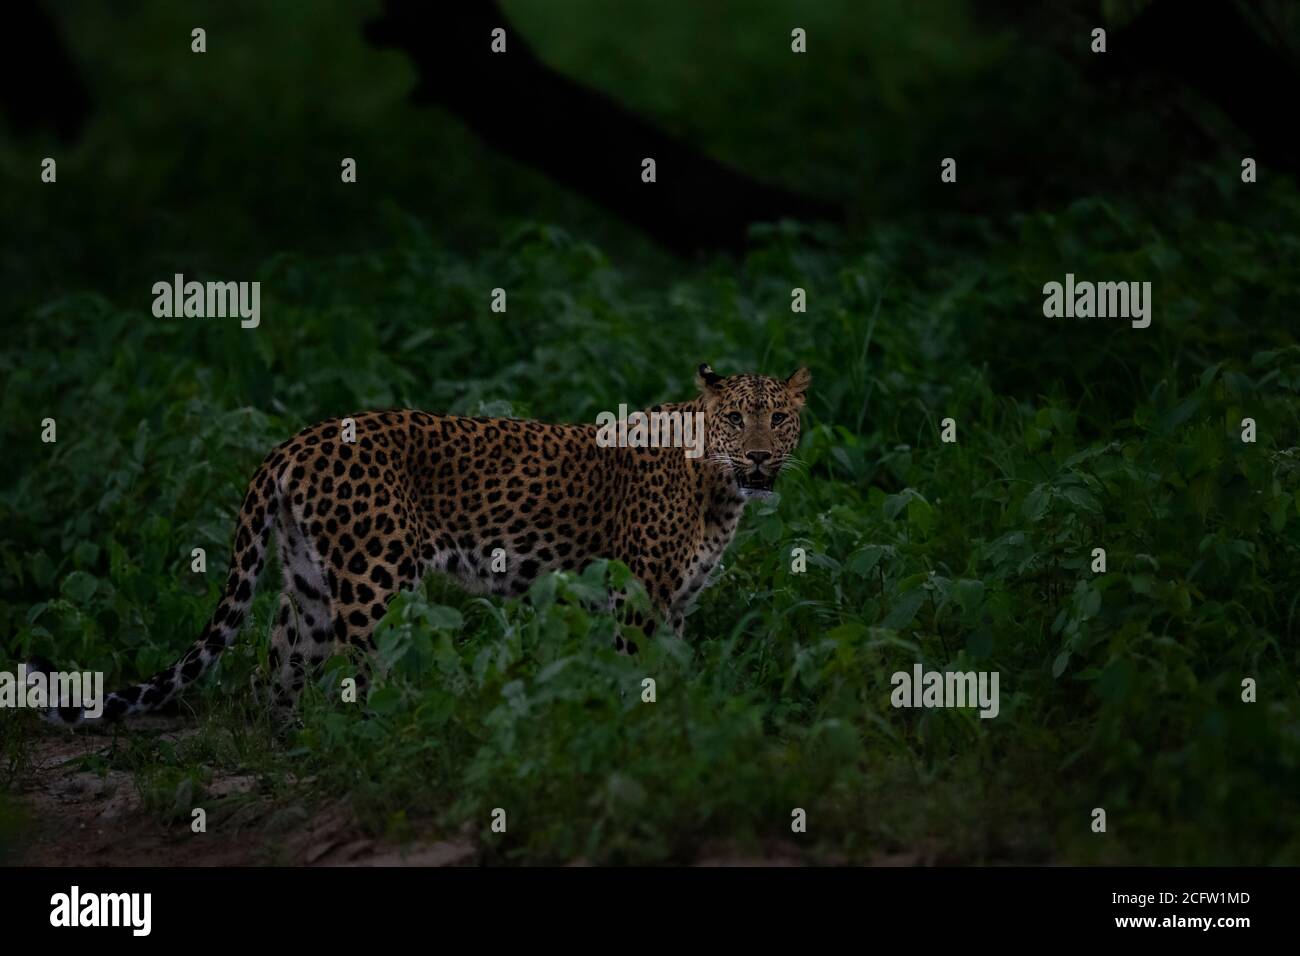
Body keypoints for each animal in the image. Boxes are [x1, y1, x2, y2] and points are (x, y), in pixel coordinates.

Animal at [45, 366, 806, 723]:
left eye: (780, 419)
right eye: (737, 418)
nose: (760, 458)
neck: (718, 489)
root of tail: (295, 442)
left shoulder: (674, 605)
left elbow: (671, 677)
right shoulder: (638, 599)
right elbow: (637, 679)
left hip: (311, 588)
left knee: (274, 673)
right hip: (376, 584)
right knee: (374, 678)